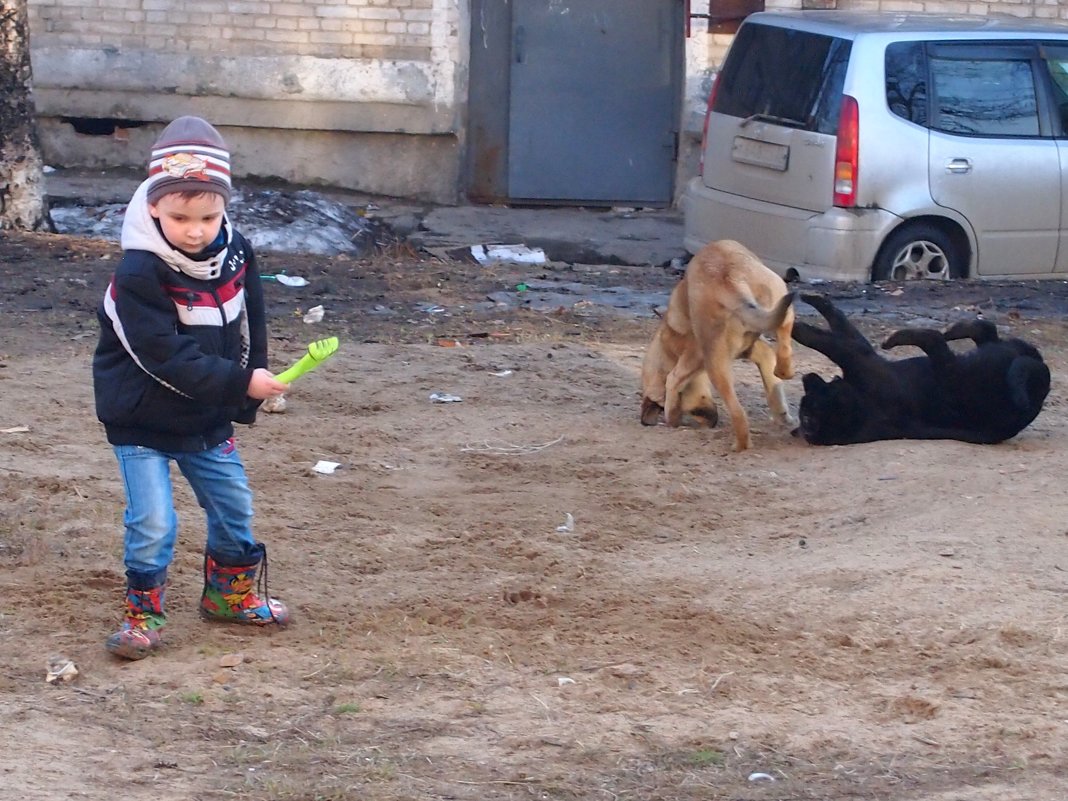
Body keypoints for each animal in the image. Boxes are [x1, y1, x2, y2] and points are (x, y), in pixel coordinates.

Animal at [636, 238, 798, 452]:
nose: (710, 420)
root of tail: (729, 279)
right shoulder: (757, 350)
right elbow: (773, 385)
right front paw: (783, 417)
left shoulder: (692, 358)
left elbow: (673, 381)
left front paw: (671, 419)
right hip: (779, 298)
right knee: (784, 339)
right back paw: (784, 369)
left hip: (715, 363)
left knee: (738, 414)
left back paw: (739, 445)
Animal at [794, 292, 1050, 448]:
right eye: (806, 413)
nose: (806, 378)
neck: (859, 406)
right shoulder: (859, 355)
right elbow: (827, 341)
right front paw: (796, 325)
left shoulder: (859, 351)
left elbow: (835, 329)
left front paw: (807, 307)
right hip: (955, 369)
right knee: (940, 337)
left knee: (980, 330)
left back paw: (949, 330)